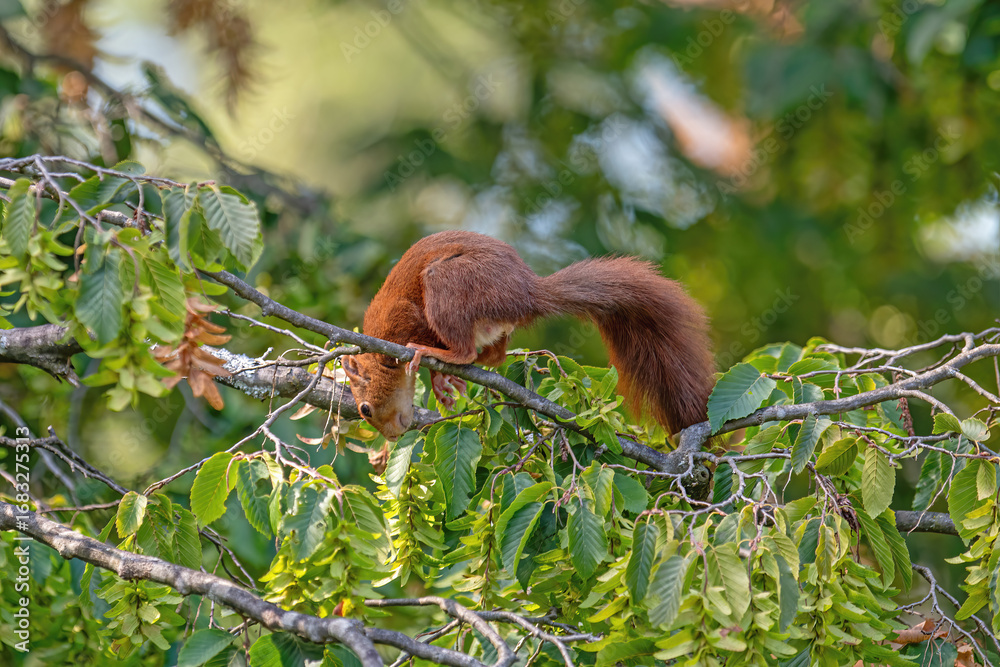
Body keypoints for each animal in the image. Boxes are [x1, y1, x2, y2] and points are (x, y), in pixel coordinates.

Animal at [343, 230, 715, 441]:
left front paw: (430, 366)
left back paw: (438, 353)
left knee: (465, 350)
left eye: (364, 409)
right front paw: (441, 385)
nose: (394, 437)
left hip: (449, 282)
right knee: (494, 356)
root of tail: (526, 294)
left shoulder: (402, 317)